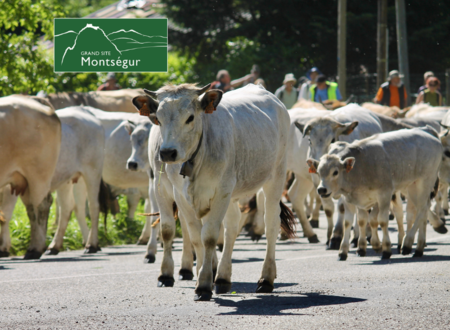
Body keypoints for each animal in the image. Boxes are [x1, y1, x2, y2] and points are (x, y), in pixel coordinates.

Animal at [141, 83, 296, 302]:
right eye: (158, 118)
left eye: (190, 117)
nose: (167, 152)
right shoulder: (175, 194)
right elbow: (188, 234)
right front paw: (182, 275)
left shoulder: (220, 191)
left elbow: (209, 236)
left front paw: (204, 285)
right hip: (232, 193)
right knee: (231, 227)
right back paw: (222, 278)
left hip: (275, 178)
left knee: (271, 226)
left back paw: (266, 279)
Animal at [310, 127, 442, 260]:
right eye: (318, 172)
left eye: (335, 172)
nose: (321, 189)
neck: (360, 167)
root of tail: (430, 136)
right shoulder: (352, 199)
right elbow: (352, 222)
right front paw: (347, 251)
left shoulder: (384, 195)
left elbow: (382, 221)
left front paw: (386, 250)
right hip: (412, 186)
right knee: (422, 210)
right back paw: (419, 248)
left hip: (425, 182)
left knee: (421, 210)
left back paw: (407, 244)